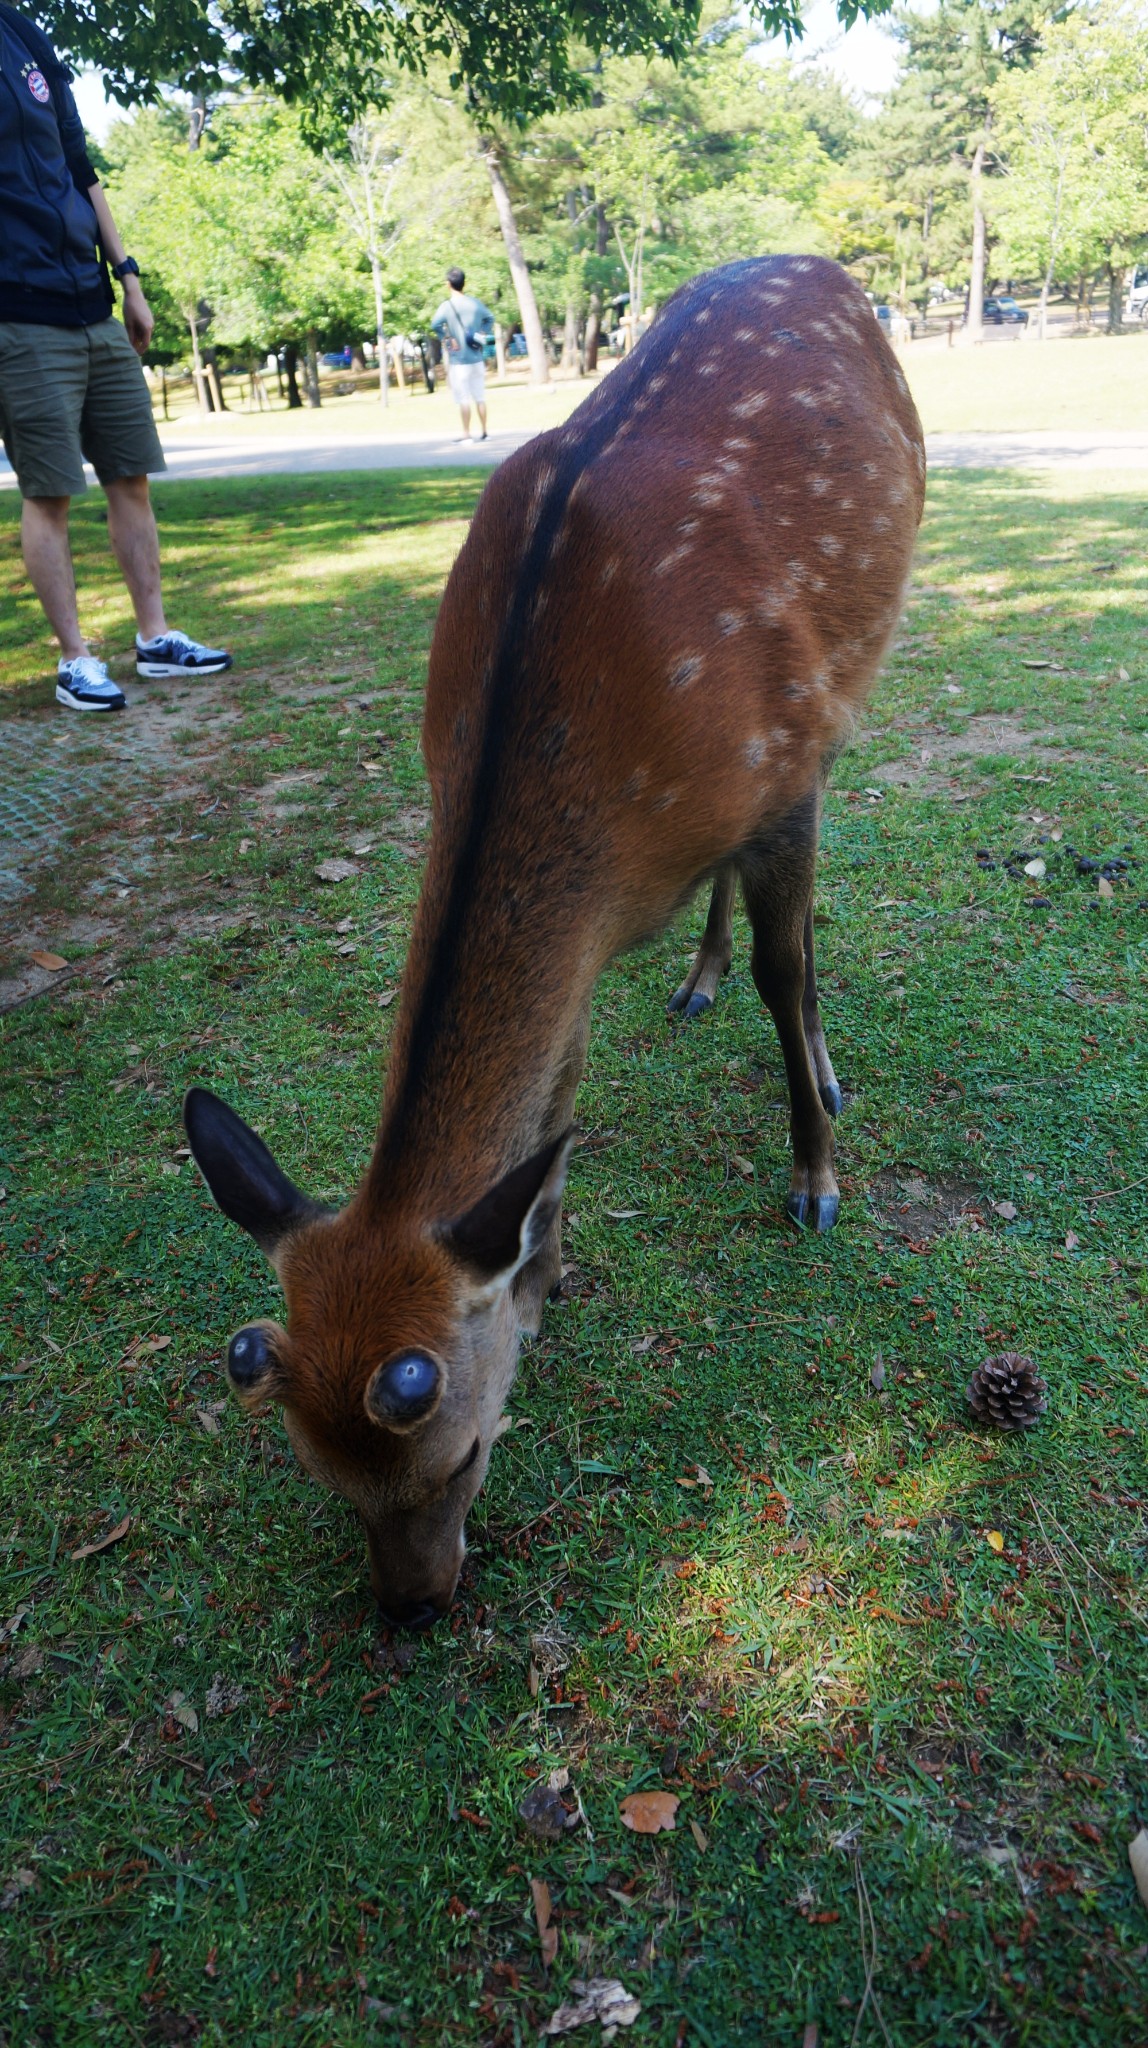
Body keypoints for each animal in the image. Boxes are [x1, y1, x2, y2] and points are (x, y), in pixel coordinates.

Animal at [186, 256, 920, 1630]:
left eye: (461, 1453)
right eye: (321, 1474)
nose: (412, 1608)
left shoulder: (785, 768)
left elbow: (785, 969)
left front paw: (814, 1176)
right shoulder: (591, 926)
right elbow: (563, 1085)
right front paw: (549, 1267)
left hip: (846, 686)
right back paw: (689, 981)